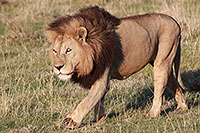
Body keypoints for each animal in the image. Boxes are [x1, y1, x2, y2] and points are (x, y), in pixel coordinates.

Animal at [45, 5, 200, 129]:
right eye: (55, 51)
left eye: (68, 50)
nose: (58, 67)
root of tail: (174, 20)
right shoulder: (98, 73)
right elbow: (97, 101)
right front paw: (98, 119)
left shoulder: (102, 76)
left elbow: (87, 101)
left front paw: (71, 121)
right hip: (161, 60)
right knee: (173, 82)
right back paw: (182, 106)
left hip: (163, 59)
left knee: (159, 88)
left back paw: (152, 114)